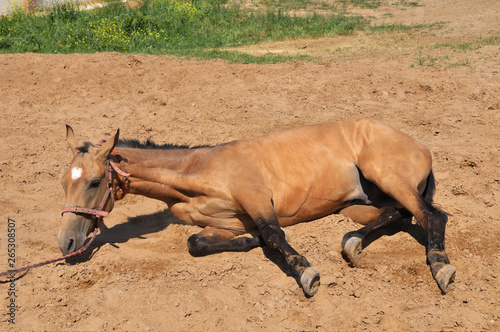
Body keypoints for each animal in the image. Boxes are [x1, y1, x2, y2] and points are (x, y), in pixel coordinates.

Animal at [58, 116, 458, 296]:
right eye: (64, 182)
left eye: (94, 182)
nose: (66, 244)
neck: (198, 171)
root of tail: (419, 145)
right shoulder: (227, 221)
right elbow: (197, 242)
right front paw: (250, 243)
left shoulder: (256, 199)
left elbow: (275, 234)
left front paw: (307, 274)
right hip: (359, 203)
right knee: (397, 214)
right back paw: (352, 243)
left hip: (387, 177)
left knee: (431, 215)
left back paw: (441, 268)